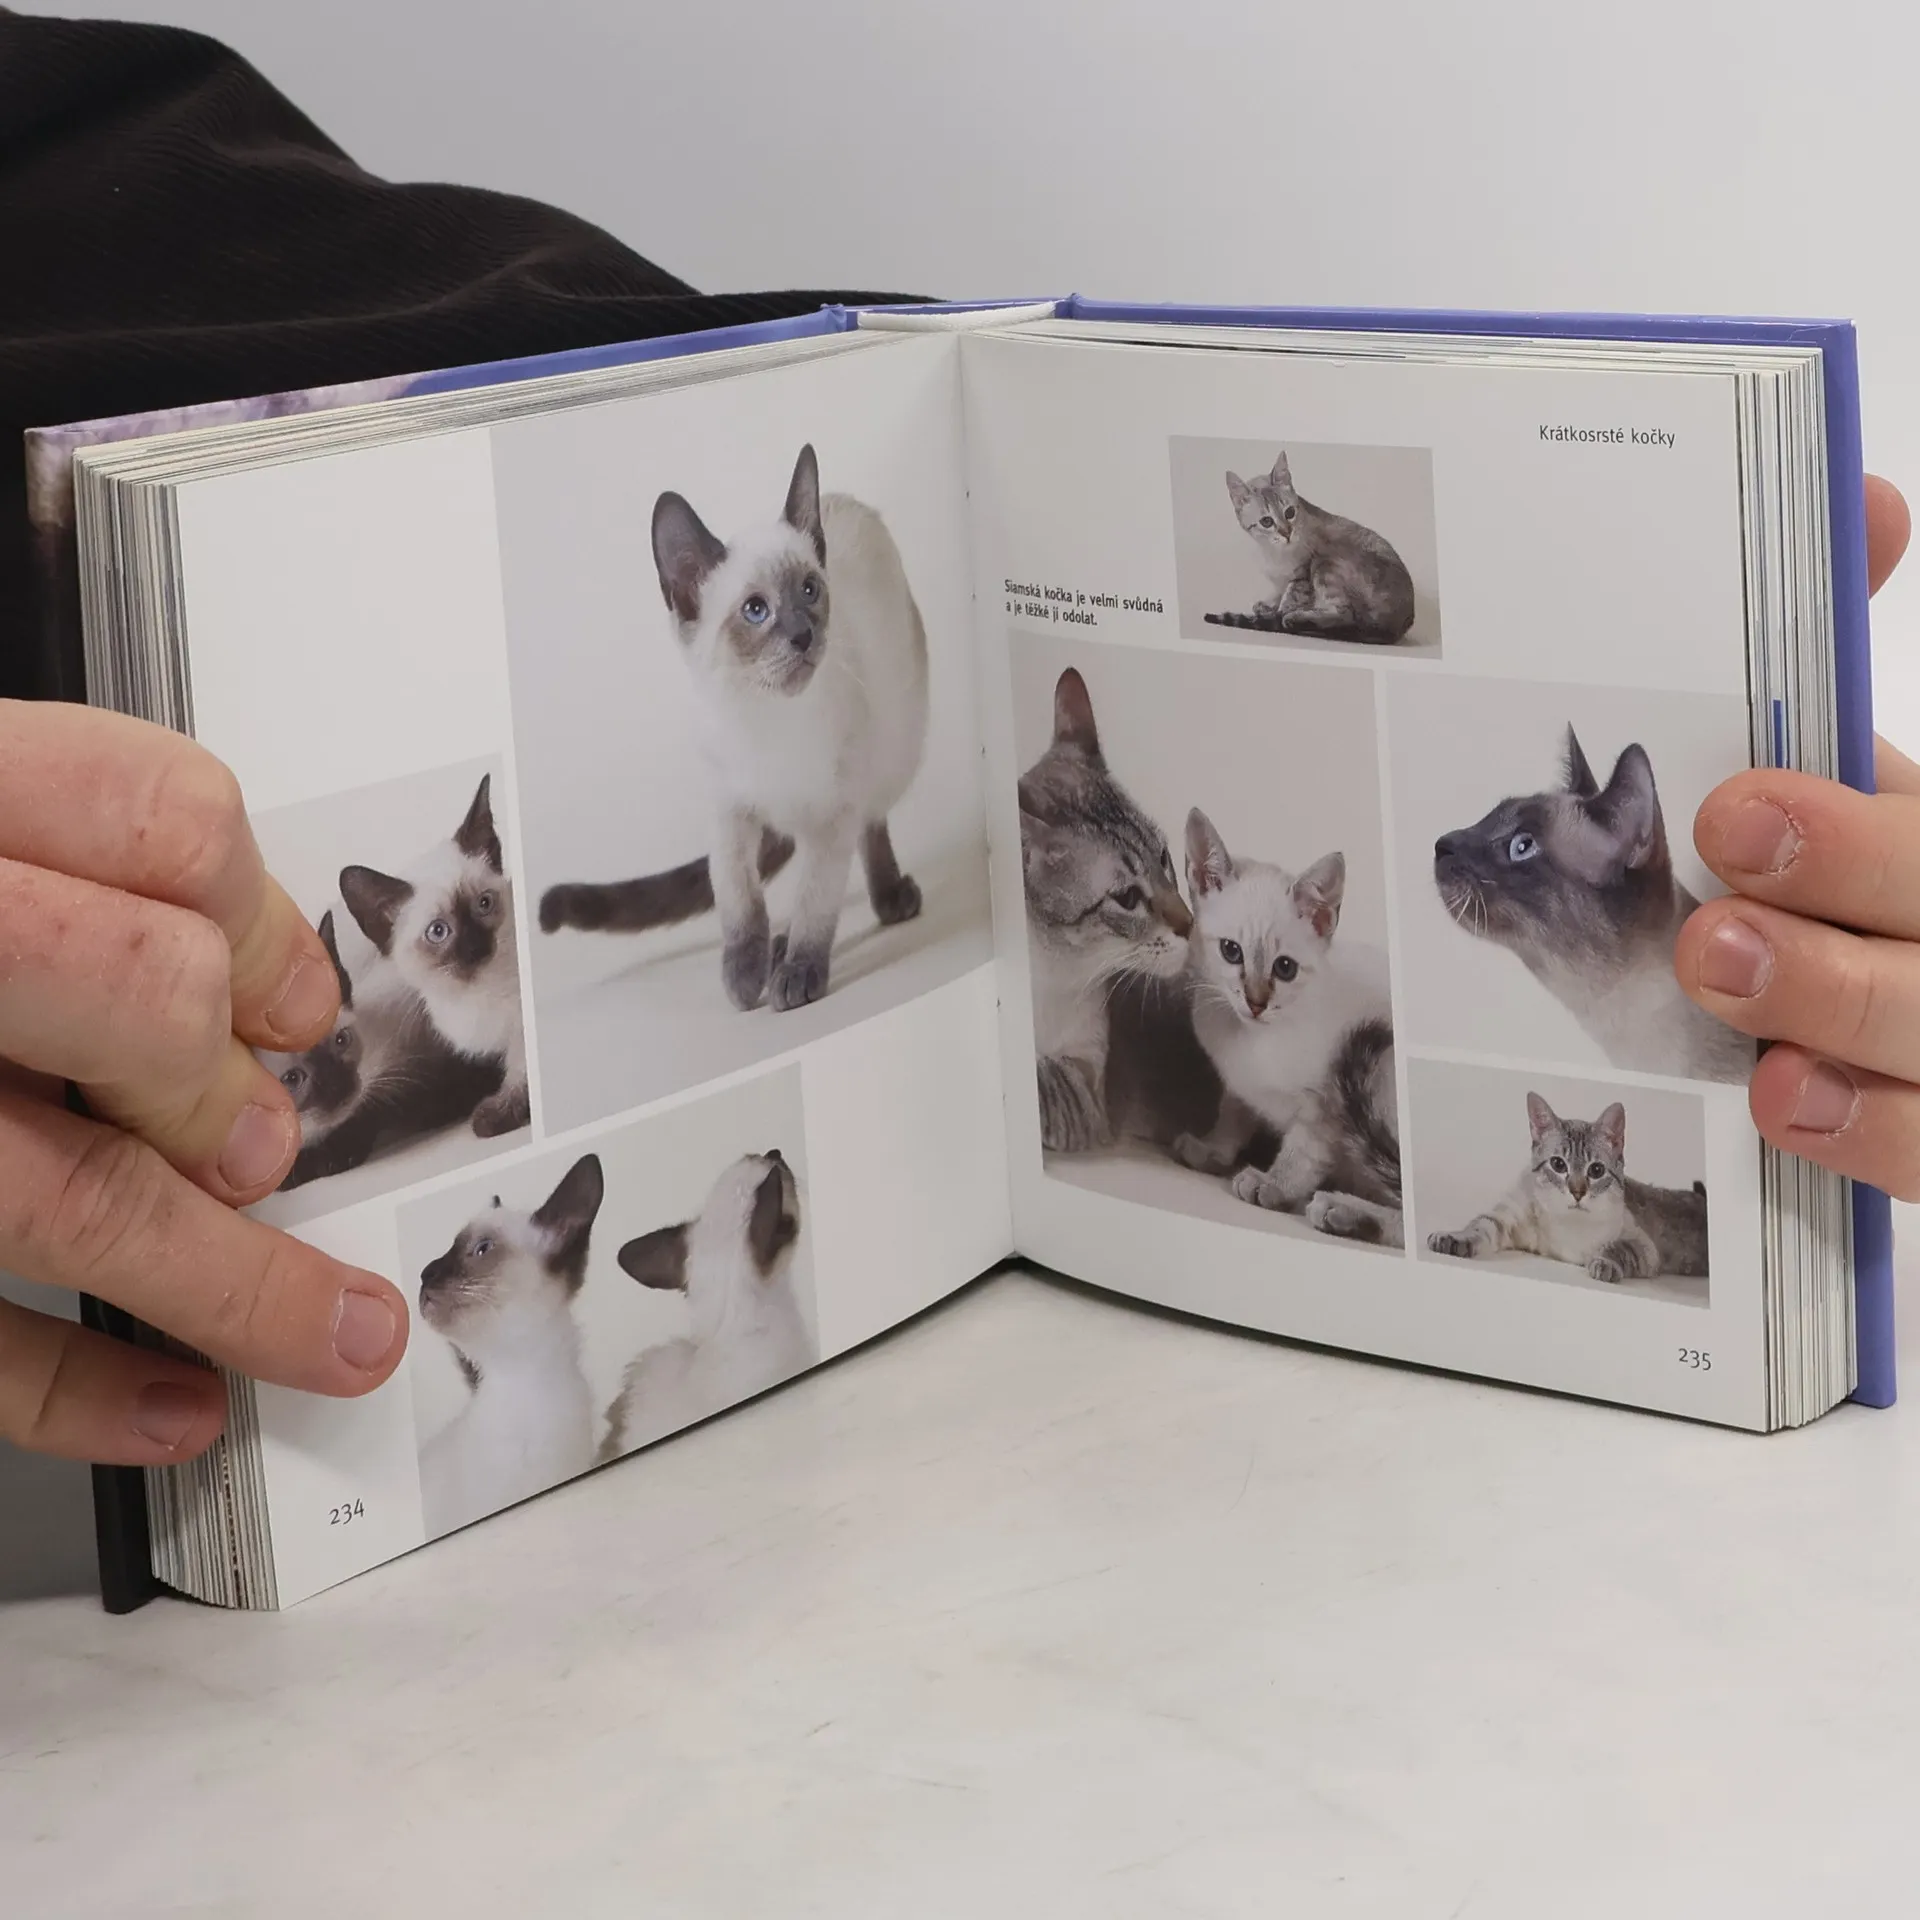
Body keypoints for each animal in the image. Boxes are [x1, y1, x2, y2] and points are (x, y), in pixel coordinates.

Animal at [340, 773, 530, 1137]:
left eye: (484, 904)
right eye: (438, 932)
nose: (476, 947)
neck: (469, 997)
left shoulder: (520, 1027)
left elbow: (521, 1070)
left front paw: (497, 1115)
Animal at [539, 443, 929, 1015]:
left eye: (810, 590)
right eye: (755, 610)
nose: (804, 635)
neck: (764, 718)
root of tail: (847, 500)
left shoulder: (831, 818)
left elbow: (814, 901)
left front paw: (797, 972)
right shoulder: (730, 814)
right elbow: (741, 901)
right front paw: (745, 978)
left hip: (891, 754)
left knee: (870, 827)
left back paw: (877, 907)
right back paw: (775, 951)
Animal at [1171, 809, 1404, 1245]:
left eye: (1285, 968)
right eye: (1231, 951)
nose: (1256, 1002)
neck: (1250, 1040)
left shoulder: (1325, 1105)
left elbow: (1302, 1154)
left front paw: (1273, 1185)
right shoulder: (1237, 1087)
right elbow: (1233, 1116)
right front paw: (1212, 1152)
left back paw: (1342, 1211)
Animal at [1203, 451, 1416, 645]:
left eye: (1289, 512)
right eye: (1266, 521)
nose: (1287, 533)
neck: (1273, 553)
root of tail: (1397, 627)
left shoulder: (1302, 574)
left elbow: (1289, 598)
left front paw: (1276, 613)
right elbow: (1277, 595)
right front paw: (1267, 606)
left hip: (1326, 563)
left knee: (1344, 614)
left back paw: (1296, 619)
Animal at [1426, 1093, 1709, 1284]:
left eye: (1596, 1170)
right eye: (1558, 1164)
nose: (1577, 1191)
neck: (1565, 1224)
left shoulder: (1643, 1247)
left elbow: (1616, 1249)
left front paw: (1604, 1264)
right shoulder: (1507, 1218)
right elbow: (1478, 1227)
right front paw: (1453, 1239)